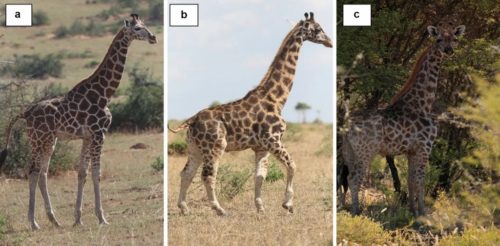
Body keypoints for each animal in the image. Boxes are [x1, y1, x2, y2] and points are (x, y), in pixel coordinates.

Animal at [0, 13, 156, 231]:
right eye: (138, 28)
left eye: (145, 25)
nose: (153, 37)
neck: (104, 94)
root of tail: (27, 112)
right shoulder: (99, 133)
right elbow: (96, 173)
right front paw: (102, 218)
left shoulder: (87, 137)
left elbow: (82, 173)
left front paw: (78, 218)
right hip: (38, 139)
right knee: (32, 171)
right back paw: (34, 222)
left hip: (49, 141)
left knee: (42, 173)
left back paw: (54, 220)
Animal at [169, 12, 332, 215]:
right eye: (318, 29)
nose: (329, 42)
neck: (277, 98)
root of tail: (191, 120)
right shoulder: (274, 140)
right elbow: (292, 166)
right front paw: (288, 204)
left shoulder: (262, 147)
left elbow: (260, 176)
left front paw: (260, 207)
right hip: (215, 146)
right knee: (208, 175)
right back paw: (219, 209)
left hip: (194, 148)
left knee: (186, 173)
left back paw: (184, 208)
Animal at [342, 22, 466, 216]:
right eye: (438, 39)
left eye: (454, 38)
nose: (448, 50)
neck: (423, 103)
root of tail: (346, 129)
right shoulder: (424, 147)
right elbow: (420, 180)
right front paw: (422, 213)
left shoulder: (411, 151)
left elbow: (410, 180)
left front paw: (412, 210)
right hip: (366, 151)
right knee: (355, 178)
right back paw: (356, 211)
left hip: (350, 152)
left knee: (346, 177)